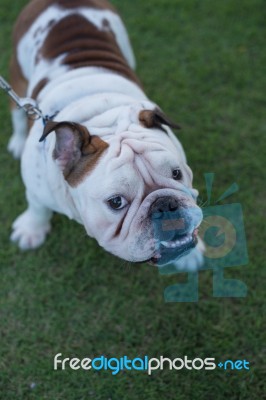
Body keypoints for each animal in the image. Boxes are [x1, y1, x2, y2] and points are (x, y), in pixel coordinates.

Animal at [7, 0, 204, 270]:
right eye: (116, 202)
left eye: (177, 174)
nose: (165, 205)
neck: (100, 117)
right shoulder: (37, 190)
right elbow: (38, 208)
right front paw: (31, 231)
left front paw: (191, 256)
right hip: (17, 74)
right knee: (17, 112)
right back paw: (17, 141)